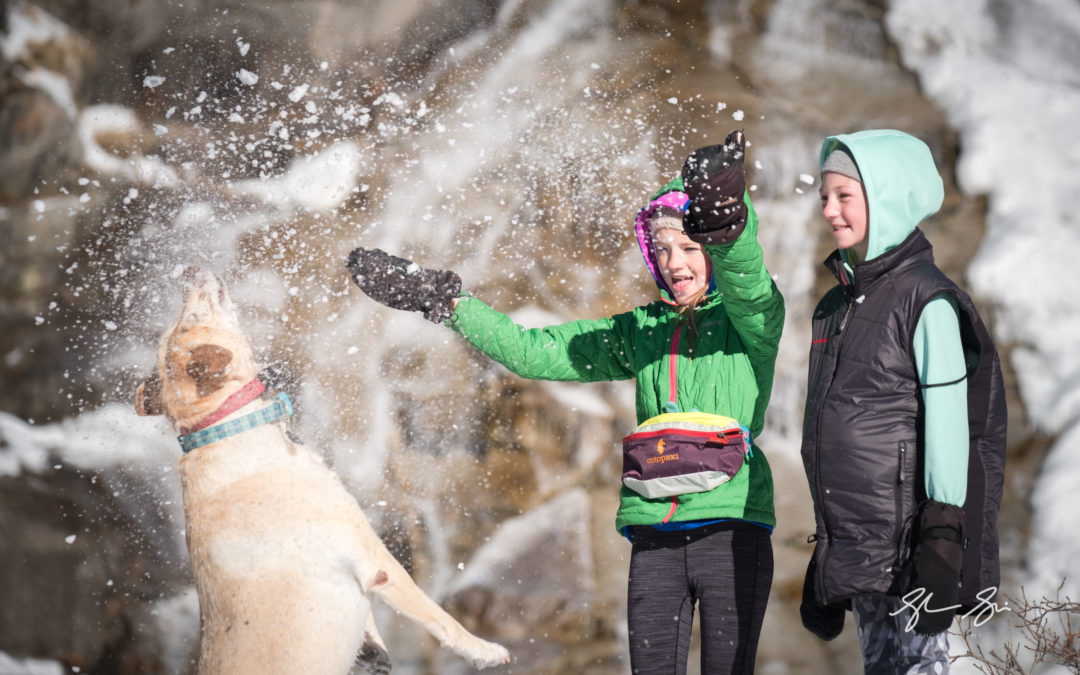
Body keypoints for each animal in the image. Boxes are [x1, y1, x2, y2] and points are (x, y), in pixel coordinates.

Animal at [135, 268, 505, 673]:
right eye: (192, 318)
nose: (191, 273)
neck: (225, 428)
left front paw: (373, 651)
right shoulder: (375, 560)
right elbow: (438, 616)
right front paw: (484, 651)